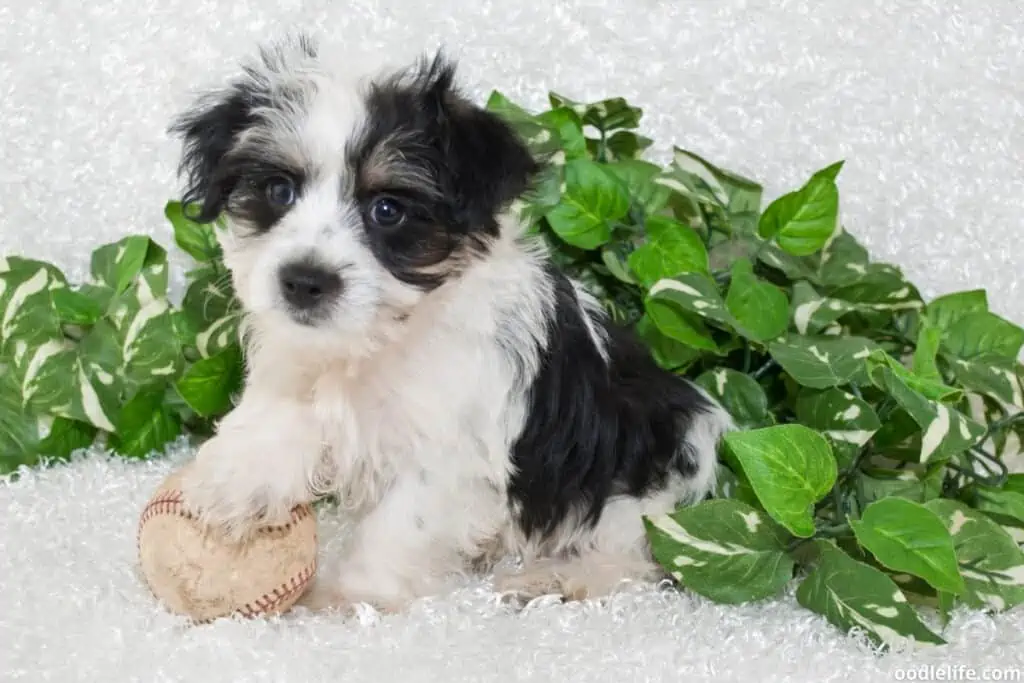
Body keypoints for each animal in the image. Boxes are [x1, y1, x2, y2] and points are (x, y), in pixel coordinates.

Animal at [167, 34, 733, 610]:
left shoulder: (449, 454)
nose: (305, 281)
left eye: (388, 210)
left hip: (653, 476)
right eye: (279, 191)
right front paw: (234, 483)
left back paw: (556, 579)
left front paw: (352, 597)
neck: (378, 340)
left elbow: (399, 524)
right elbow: (278, 415)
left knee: (631, 554)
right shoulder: (300, 359)